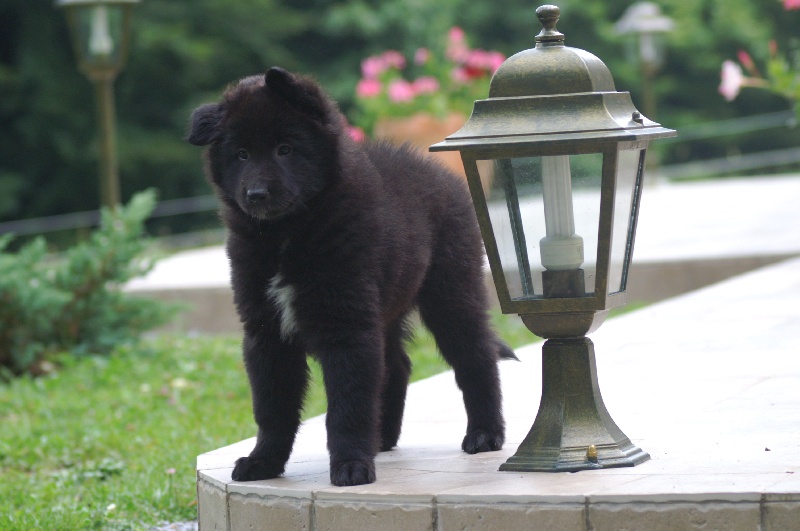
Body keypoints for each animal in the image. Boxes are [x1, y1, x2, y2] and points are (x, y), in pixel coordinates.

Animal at [187, 66, 512, 486]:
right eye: (240, 154)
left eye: (284, 149)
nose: (256, 194)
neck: (286, 236)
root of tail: (438, 171)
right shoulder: (266, 332)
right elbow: (273, 408)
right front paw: (264, 462)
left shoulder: (347, 326)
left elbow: (347, 407)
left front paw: (351, 466)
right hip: (388, 304)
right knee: (396, 366)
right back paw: (383, 437)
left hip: (451, 292)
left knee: (476, 357)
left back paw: (485, 434)